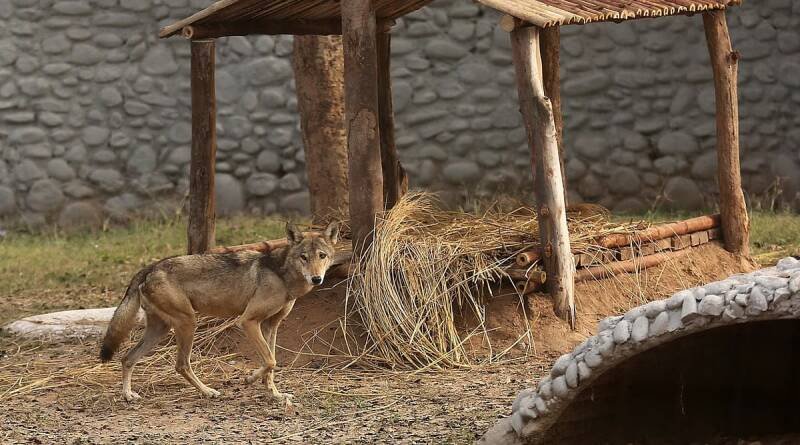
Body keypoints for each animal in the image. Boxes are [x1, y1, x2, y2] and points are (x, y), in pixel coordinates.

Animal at [99, 221, 340, 403]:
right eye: (303, 257)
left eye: (322, 256)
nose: (316, 279)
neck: (283, 276)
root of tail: (150, 267)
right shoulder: (248, 321)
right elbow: (270, 361)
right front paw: (249, 379)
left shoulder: (271, 325)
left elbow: (271, 363)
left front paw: (275, 395)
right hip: (188, 323)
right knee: (181, 365)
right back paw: (208, 392)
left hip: (161, 329)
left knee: (127, 358)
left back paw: (128, 395)